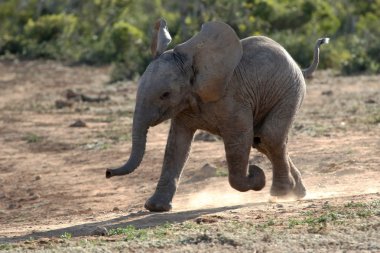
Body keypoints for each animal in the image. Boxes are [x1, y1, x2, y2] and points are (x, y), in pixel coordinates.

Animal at [105, 18, 328, 211]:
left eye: (165, 94)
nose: (107, 172)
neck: (193, 64)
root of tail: (298, 65)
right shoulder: (185, 105)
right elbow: (176, 145)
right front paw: (156, 208)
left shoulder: (233, 100)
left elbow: (238, 140)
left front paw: (257, 176)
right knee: (262, 141)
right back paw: (298, 193)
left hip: (290, 91)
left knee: (268, 137)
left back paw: (281, 193)